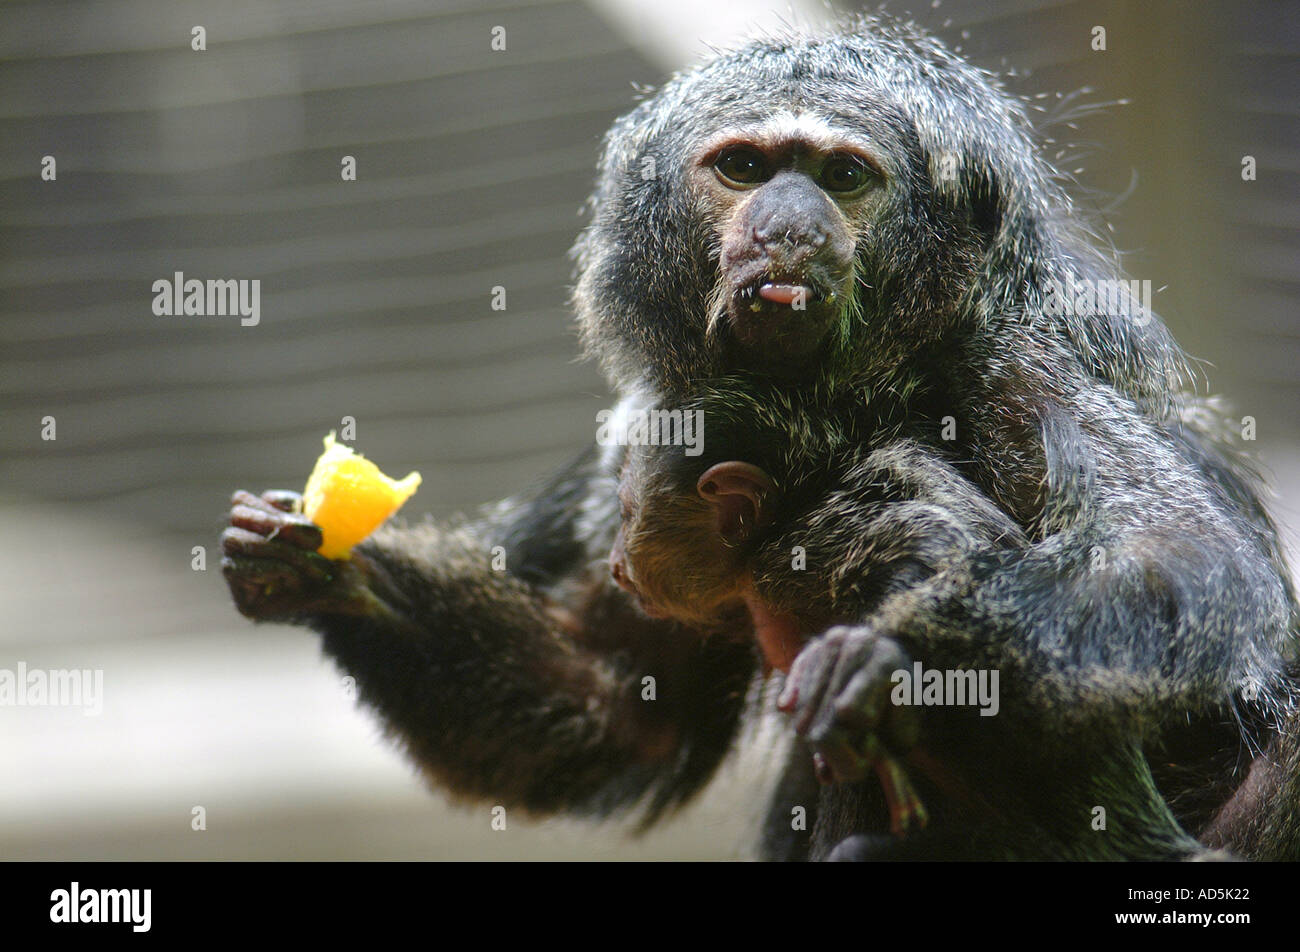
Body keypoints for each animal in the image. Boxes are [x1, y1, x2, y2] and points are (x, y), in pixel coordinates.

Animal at [223, 15, 1299, 859]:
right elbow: (619, 714)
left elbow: (1179, 562)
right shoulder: (651, 426)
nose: (788, 222)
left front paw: (901, 656)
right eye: (744, 168)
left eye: (843, 177)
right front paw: (325, 571)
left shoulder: (1023, 365)